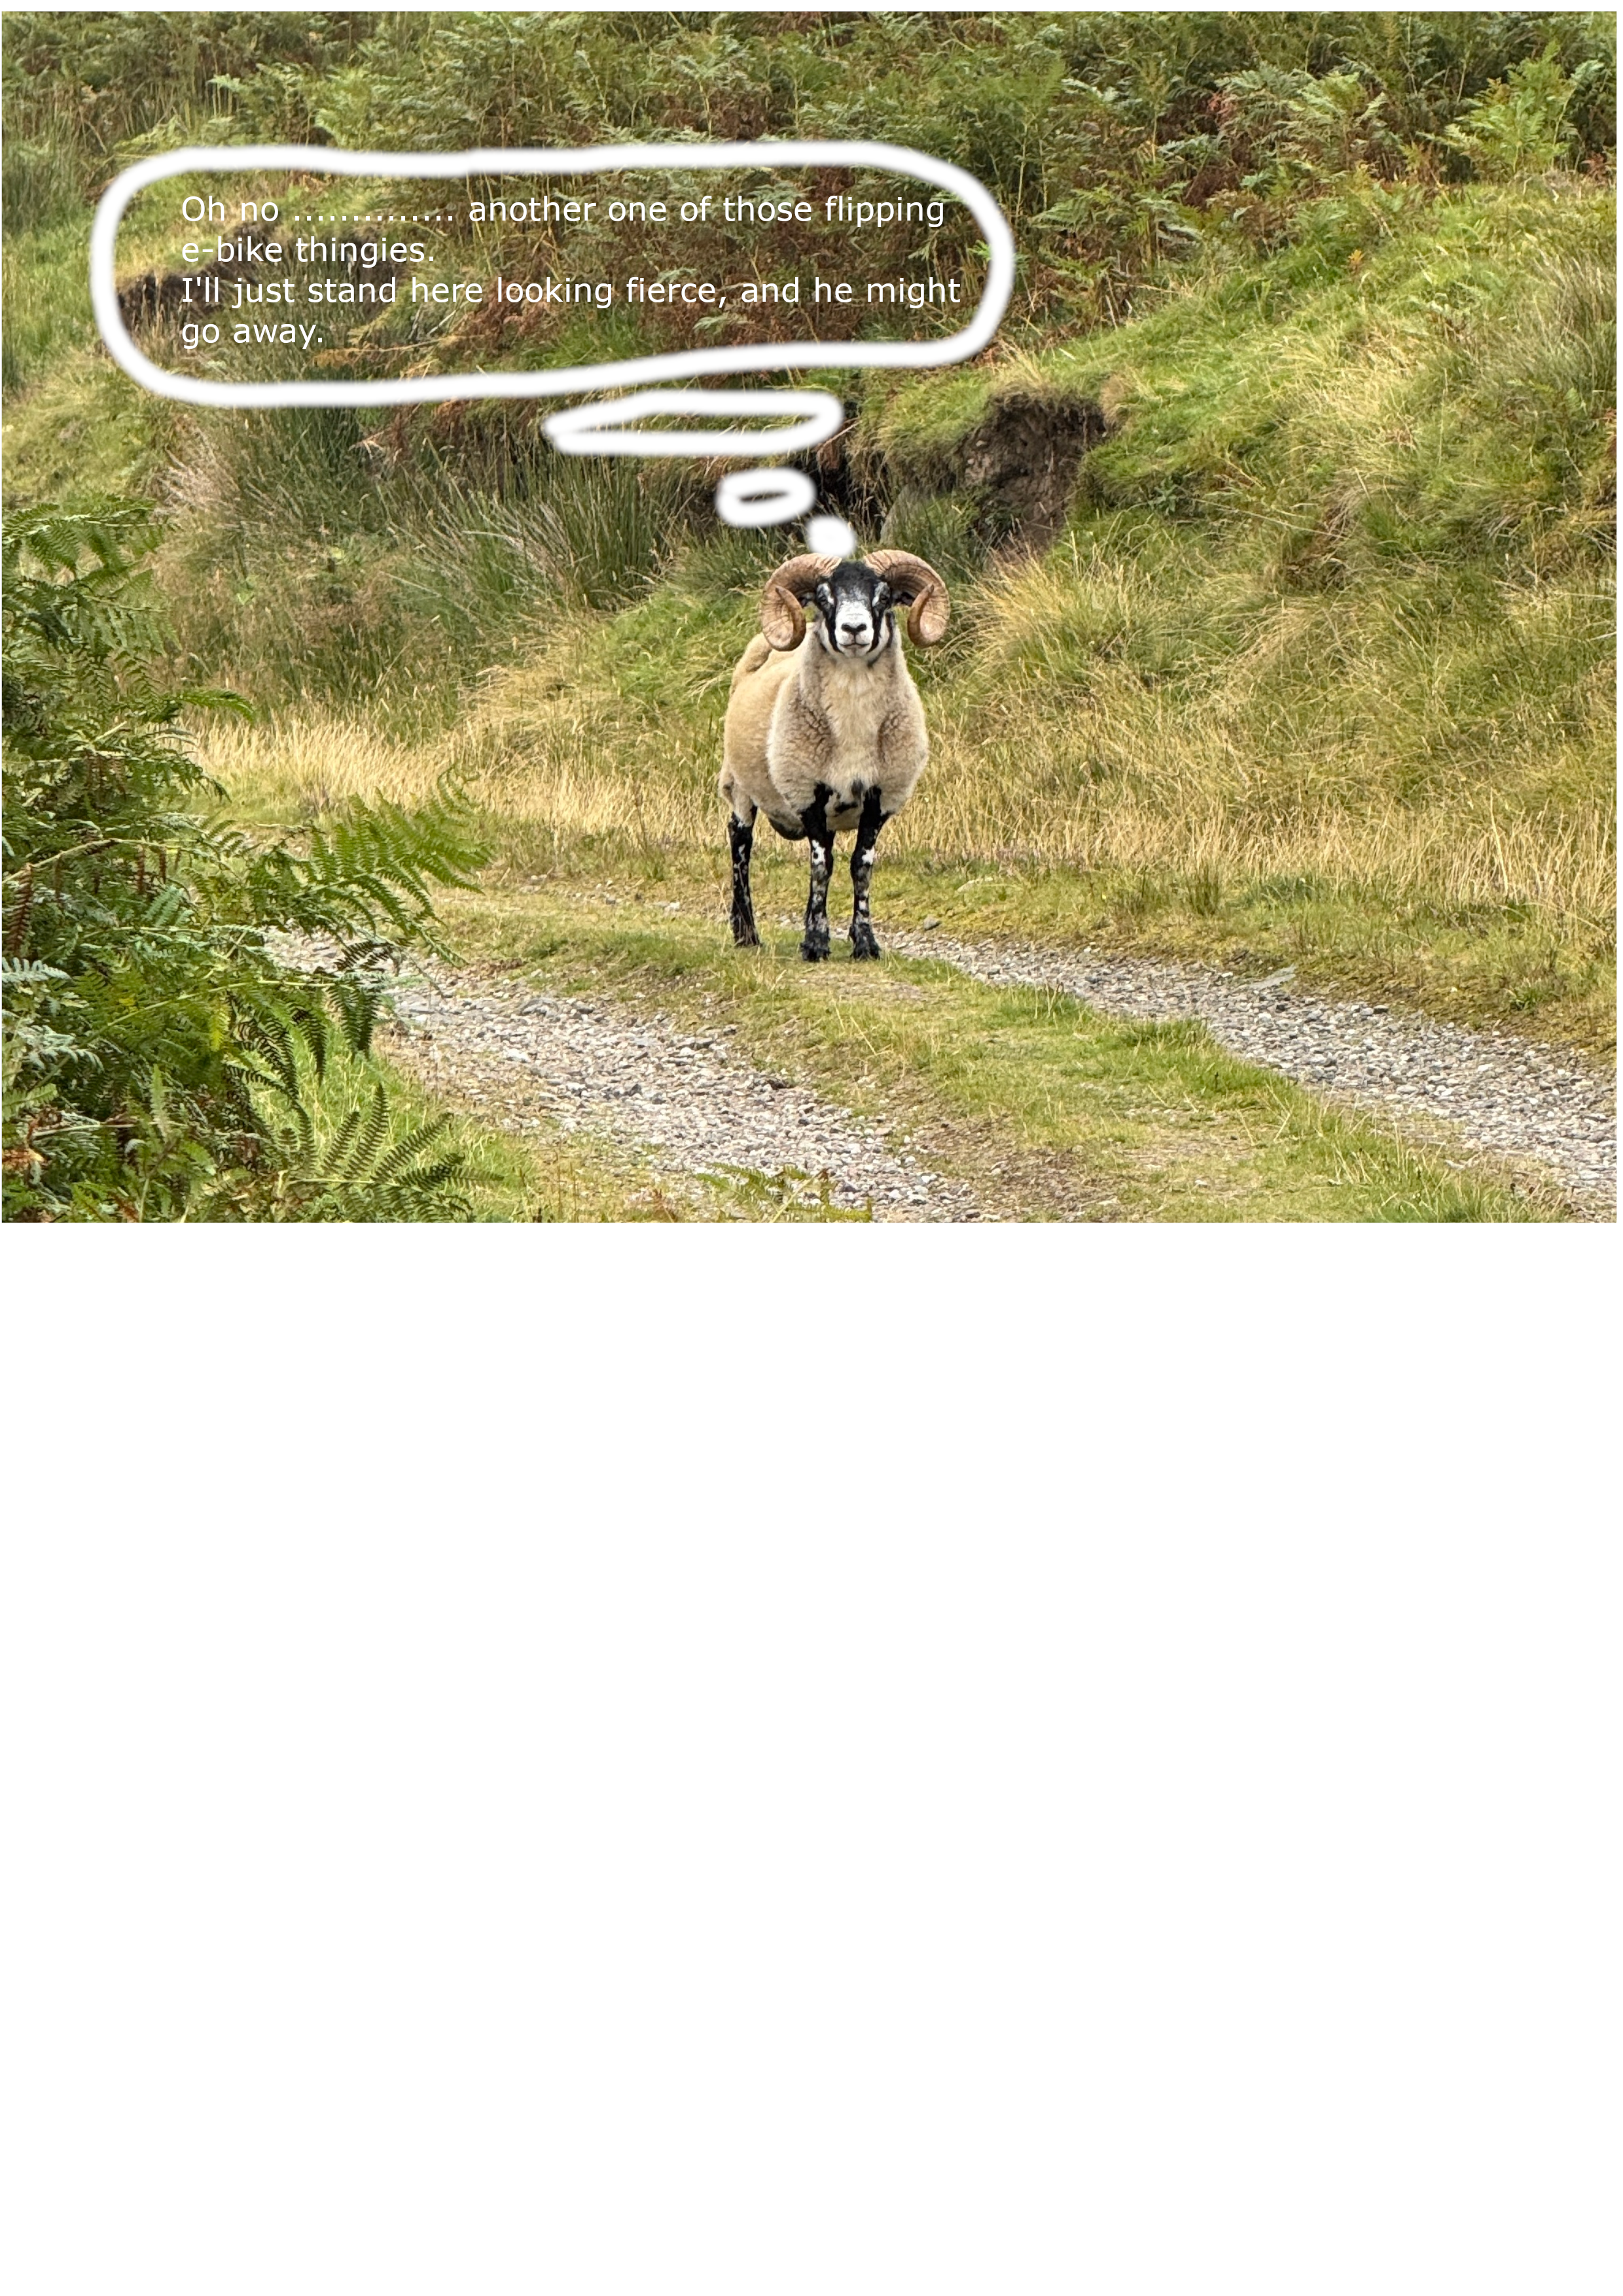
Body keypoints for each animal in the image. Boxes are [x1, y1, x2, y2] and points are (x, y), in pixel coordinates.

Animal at [718, 549, 949, 961]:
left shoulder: (880, 798)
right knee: (740, 846)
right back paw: (746, 933)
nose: (854, 629)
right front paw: (815, 943)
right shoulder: (807, 793)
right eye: (824, 598)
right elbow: (821, 866)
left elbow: (862, 866)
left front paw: (866, 942)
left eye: (884, 596)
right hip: (740, 786)